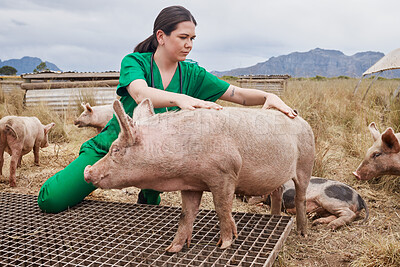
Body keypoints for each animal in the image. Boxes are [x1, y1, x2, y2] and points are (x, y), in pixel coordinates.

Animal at [84, 100, 316, 253]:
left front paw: (225, 244)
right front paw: (172, 249)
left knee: (301, 197)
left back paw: (303, 233)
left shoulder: (225, 174)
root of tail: (302, 120)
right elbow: (186, 214)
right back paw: (274, 217)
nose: (87, 171)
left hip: (306, 163)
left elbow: (222, 208)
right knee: (277, 191)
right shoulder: (190, 184)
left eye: (115, 150)